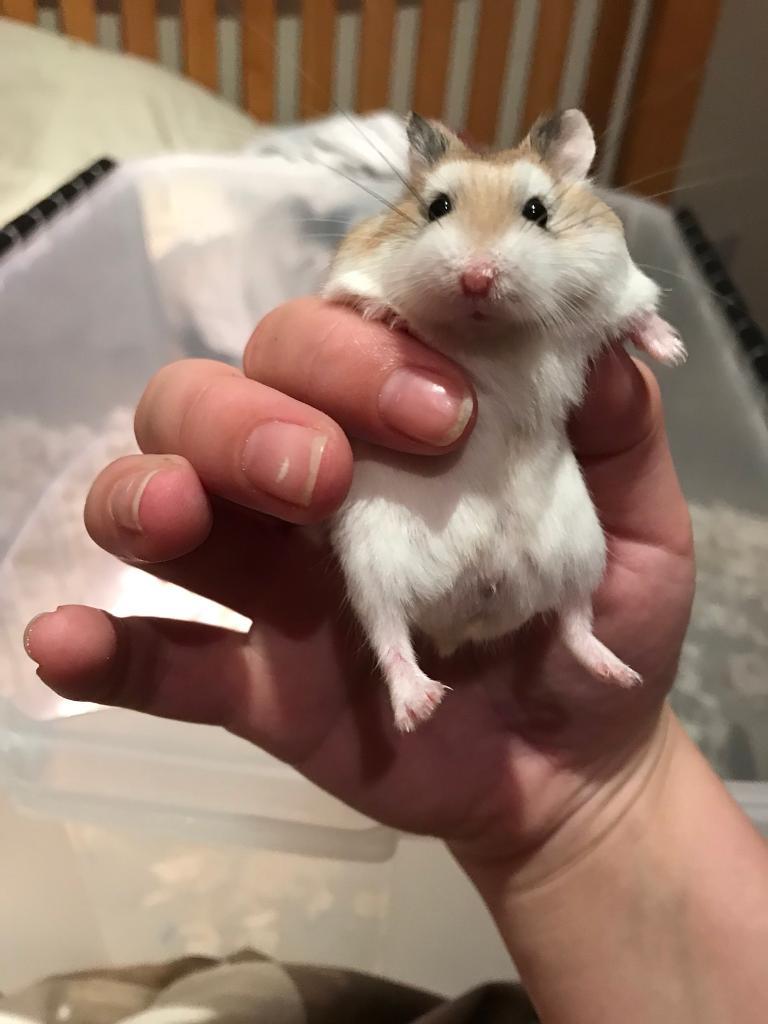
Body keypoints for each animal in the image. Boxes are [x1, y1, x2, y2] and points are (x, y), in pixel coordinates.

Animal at [323, 109, 686, 732]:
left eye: (536, 210)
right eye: (437, 206)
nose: (476, 277)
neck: (494, 333)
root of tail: (468, 618)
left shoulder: (621, 287)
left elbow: (638, 317)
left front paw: (674, 352)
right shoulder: (350, 273)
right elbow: (364, 301)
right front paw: (387, 318)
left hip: (582, 551)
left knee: (574, 622)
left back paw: (621, 674)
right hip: (371, 560)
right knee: (389, 636)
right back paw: (420, 707)